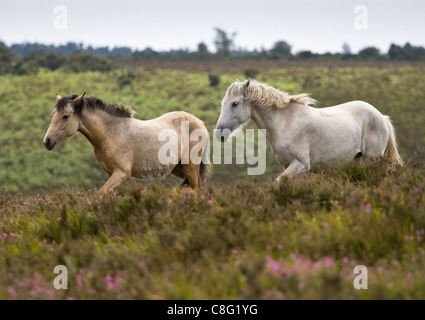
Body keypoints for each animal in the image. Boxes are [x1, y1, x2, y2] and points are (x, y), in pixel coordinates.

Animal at [43, 92, 210, 192]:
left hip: (190, 167)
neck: (111, 134)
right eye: (52, 114)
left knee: (197, 189)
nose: (47, 141)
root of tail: (201, 123)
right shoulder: (111, 174)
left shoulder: (121, 174)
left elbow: (99, 194)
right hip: (179, 168)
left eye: (65, 116)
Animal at [217, 79, 402, 182]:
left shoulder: (301, 164)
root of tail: (381, 116)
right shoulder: (287, 165)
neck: (285, 123)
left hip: (372, 159)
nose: (219, 133)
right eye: (222, 103)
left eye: (235, 103)